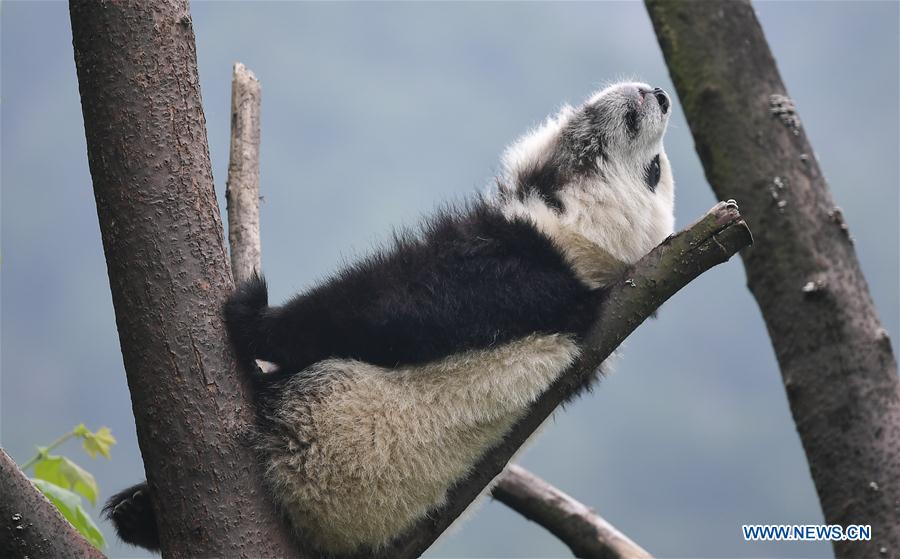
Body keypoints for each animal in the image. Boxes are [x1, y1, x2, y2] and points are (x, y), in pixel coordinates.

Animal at [105, 81, 674, 554]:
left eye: (652, 172)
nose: (659, 96)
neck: (584, 256)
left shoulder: (514, 273)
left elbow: (387, 310)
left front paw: (253, 317)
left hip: (321, 440)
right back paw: (135, 512)